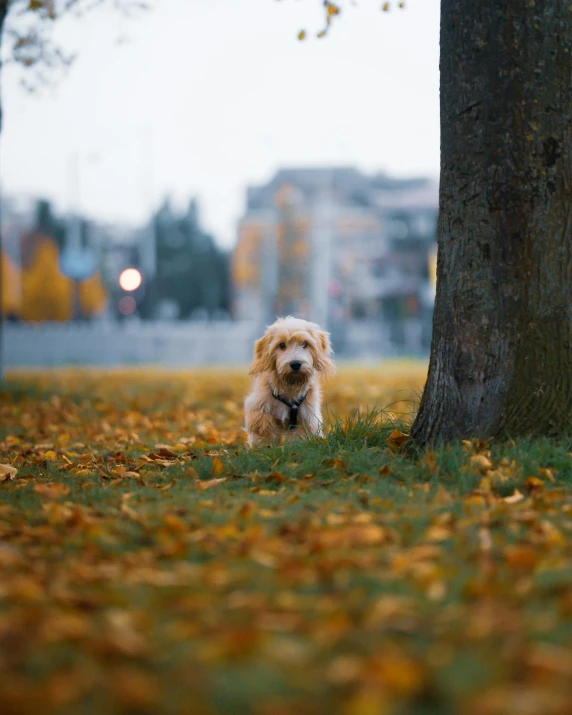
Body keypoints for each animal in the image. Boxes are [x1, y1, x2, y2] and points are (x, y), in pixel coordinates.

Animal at [245, 318, 336, 448]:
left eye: (305, 344)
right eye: (282, 345)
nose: (295, 364)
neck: (290, 385)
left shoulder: (306, 417)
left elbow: (299, 437)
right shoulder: (258, 406)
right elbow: (263, 426)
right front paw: (266, 447)